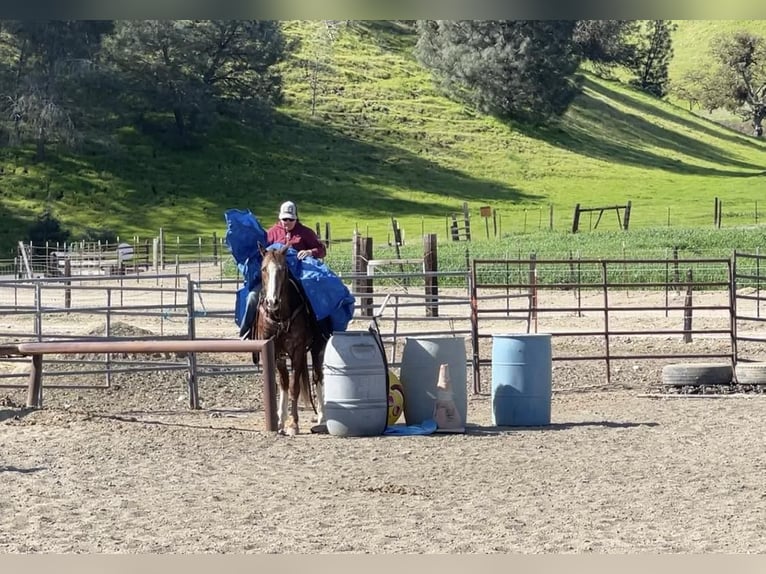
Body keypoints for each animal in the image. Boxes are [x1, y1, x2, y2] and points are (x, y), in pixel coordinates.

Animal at [254, 243, 328, 436]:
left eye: (283, 269)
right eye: (263, 269)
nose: (272, 302)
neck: (280, 317)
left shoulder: (297, 350)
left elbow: (295, 386)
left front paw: (293, 424)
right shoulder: (274, 352)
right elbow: (281, 384)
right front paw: (280, 421)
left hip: (317, 349)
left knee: (318, 376)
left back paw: (322, 417)